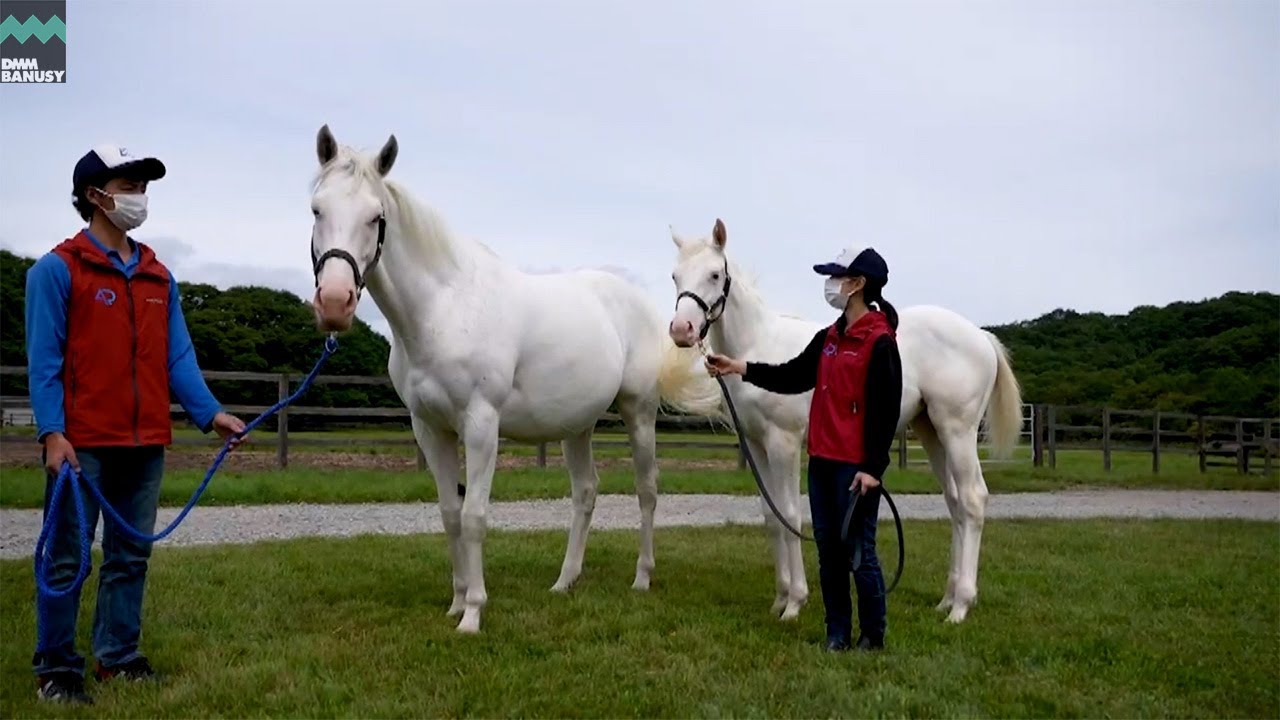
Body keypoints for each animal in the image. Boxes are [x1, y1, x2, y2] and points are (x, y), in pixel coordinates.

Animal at [306, 125, 723, 633]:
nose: (335, 302)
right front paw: (456, 600)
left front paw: (473, 612)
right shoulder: (429, 428)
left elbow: (474, 515)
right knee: (586, 492)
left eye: (375, 217)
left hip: (638, 412)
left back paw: (642, 577)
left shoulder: (482, 423)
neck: (443, 307)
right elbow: (449, 514)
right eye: (317, 209)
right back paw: (565, 581)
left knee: (646, 489)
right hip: (577, 426)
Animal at [666, 218, 1024, 624]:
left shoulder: (783, 442)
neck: (760, 344)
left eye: (714, 274)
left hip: (958, 431)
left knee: (973, 499)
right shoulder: (756, 445)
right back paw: (947, 599)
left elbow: (791, 514)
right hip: (932, 432)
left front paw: (795, 603)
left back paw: (961, 606)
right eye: (675, 276)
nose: (681, 330)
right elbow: (772, 516)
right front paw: (779, 599)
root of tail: (980, 336)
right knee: (956, 503)